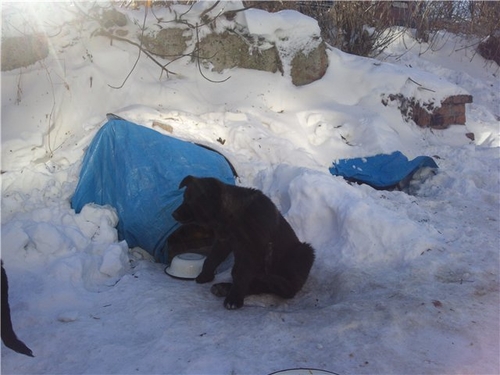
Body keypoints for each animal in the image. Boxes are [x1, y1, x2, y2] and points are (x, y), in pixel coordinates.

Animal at [171, 175, 312, 310]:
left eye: (192, 200)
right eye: (184, 198)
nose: (173, 214)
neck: (232, 215)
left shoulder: (251, 249)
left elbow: (240, 273)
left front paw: (234, 299)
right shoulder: (223, 241)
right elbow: (211, 259)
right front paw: (205, 276)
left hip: (304, 251)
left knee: (283, 288)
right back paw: (225, 288)